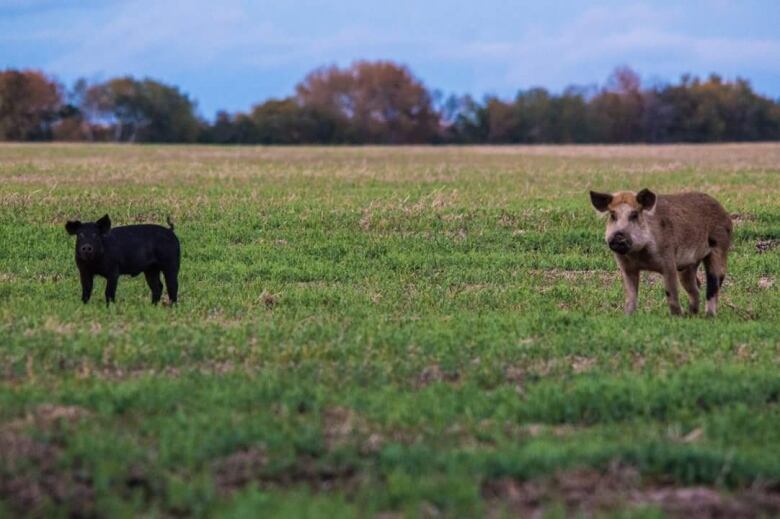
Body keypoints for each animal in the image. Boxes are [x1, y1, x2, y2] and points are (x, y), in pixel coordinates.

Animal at [592, 190, 732, 316]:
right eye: (612, 215)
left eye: (634, 215)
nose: (618, 236)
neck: (639, 256)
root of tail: (725, 212)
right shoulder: (627, 268)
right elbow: (631, 296)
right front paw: (627, 316)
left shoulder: (669, 261)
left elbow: (671, 292)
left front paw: (676, 317)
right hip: (688, 266)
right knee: (696, 287)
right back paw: (691, 314)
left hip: (719, 247)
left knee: (714, 284)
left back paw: (709, 316)